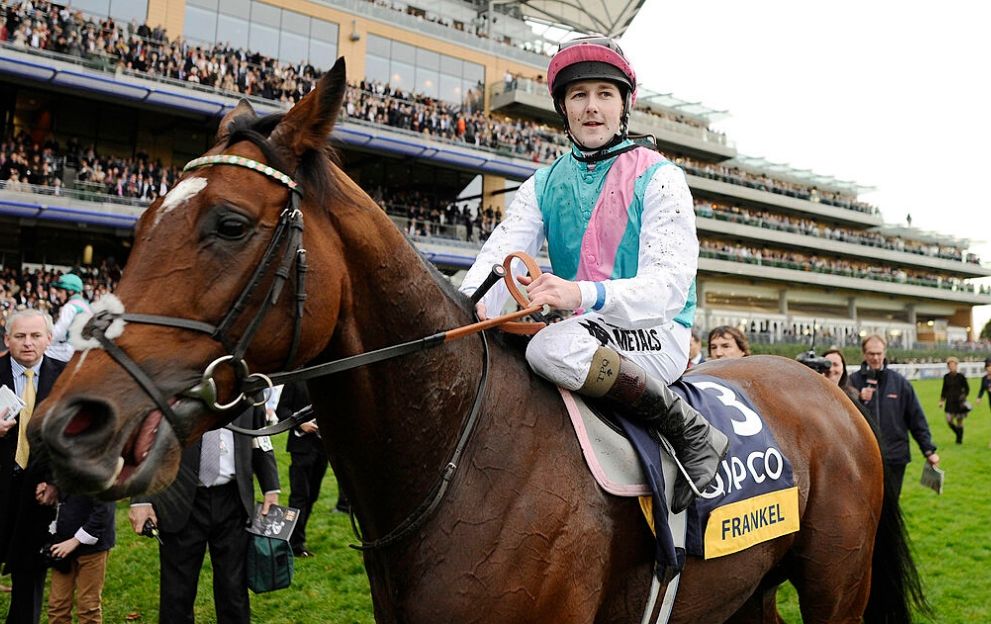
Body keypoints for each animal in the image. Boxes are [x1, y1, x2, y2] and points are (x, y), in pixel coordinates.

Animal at [33, 58, 927, 623]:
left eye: (228, 223)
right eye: (141, 223)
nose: (70, 425)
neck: (459, 456)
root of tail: (825, 387)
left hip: (835, 585)